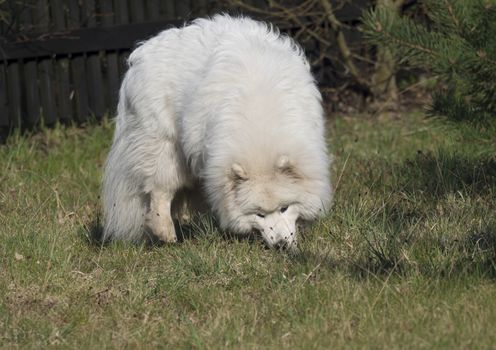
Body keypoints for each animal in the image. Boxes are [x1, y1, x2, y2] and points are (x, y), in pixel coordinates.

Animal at [102, 13, 332, 249]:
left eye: (284, 208)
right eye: (259, 214)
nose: (280, 245)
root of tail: (139, 56)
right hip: (164, 149)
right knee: (160, 190)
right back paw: (166, 232)